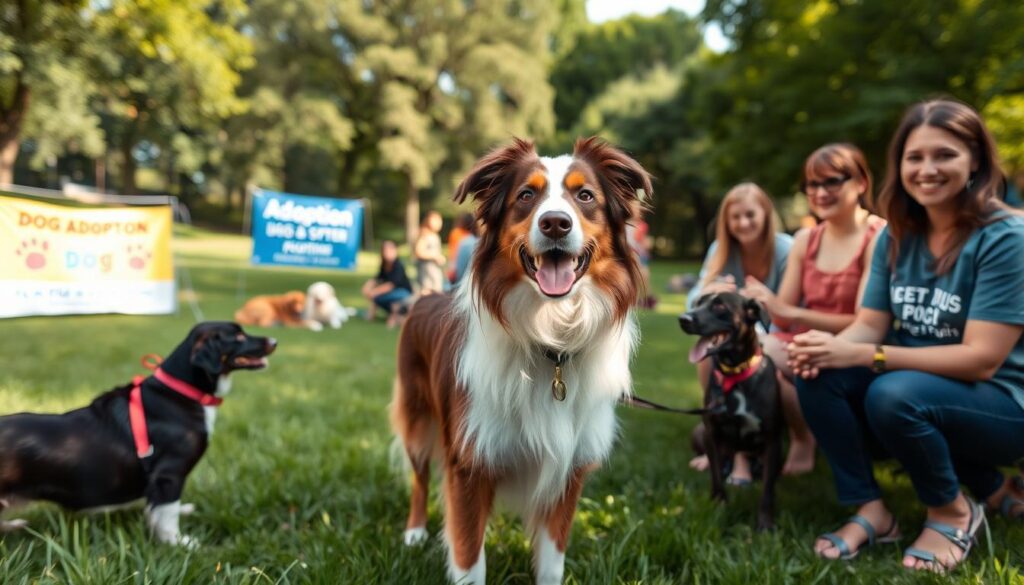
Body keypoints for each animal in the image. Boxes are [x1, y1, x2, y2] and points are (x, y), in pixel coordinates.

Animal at [0, 323, 276, 549]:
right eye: (238, 336)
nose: (274, 340)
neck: (182, 394)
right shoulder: (169, 475)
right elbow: (167, 513)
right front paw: (180, 543)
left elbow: (160, 509)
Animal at [679, 293, 782, 532]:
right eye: (698, 303)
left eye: (719, 305)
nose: (684, 319)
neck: (735, 376)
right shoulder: (712, 435)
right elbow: (716, 478)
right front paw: (718, 509)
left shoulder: (773, 441)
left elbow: (767, 491)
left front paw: (765, 525)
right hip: (700, 433)